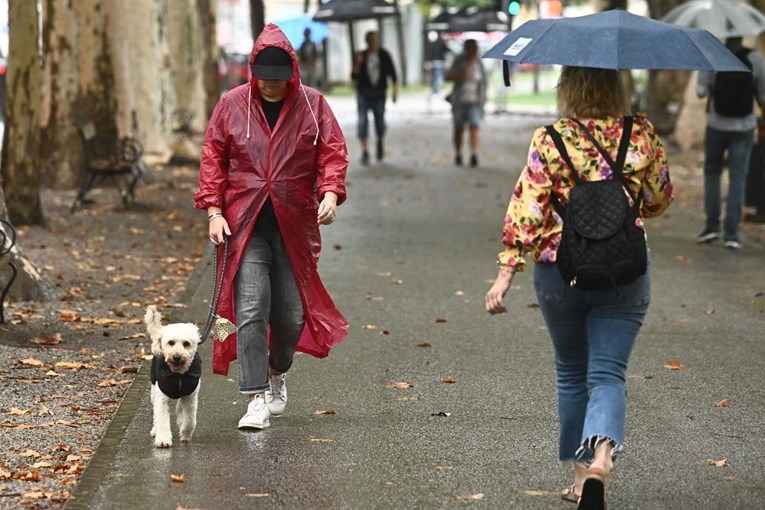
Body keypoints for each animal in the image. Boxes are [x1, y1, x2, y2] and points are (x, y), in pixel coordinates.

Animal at [144, 304, 201, 448]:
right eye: (170, 342)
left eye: (186, 344)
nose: (176, 357)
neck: (178, 375)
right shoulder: (161, 397)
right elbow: (161, 419)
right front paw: (163, 440)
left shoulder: (190, 397)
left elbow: (190, 420)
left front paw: (185, 434)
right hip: (153, 390)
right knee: (156, 415)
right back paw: (155, 430)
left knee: (180, 406)